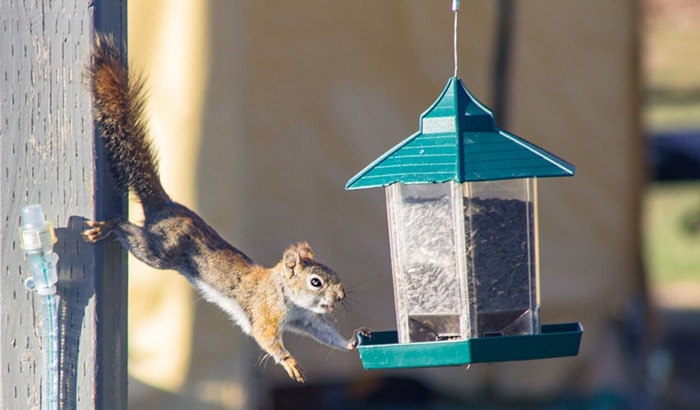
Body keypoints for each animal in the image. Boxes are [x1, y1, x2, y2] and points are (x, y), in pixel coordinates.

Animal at [82, 35, 372, 384]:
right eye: (316, 282)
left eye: (334, 276)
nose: (341, 297)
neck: (284, 292)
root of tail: (165, 205)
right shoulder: (266, 312)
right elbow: (266, 338)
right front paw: (288, 361)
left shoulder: (303, 320)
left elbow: (323, 333)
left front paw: (352, 341)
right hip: (160, 252)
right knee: (131, 233)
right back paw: (107, 225)